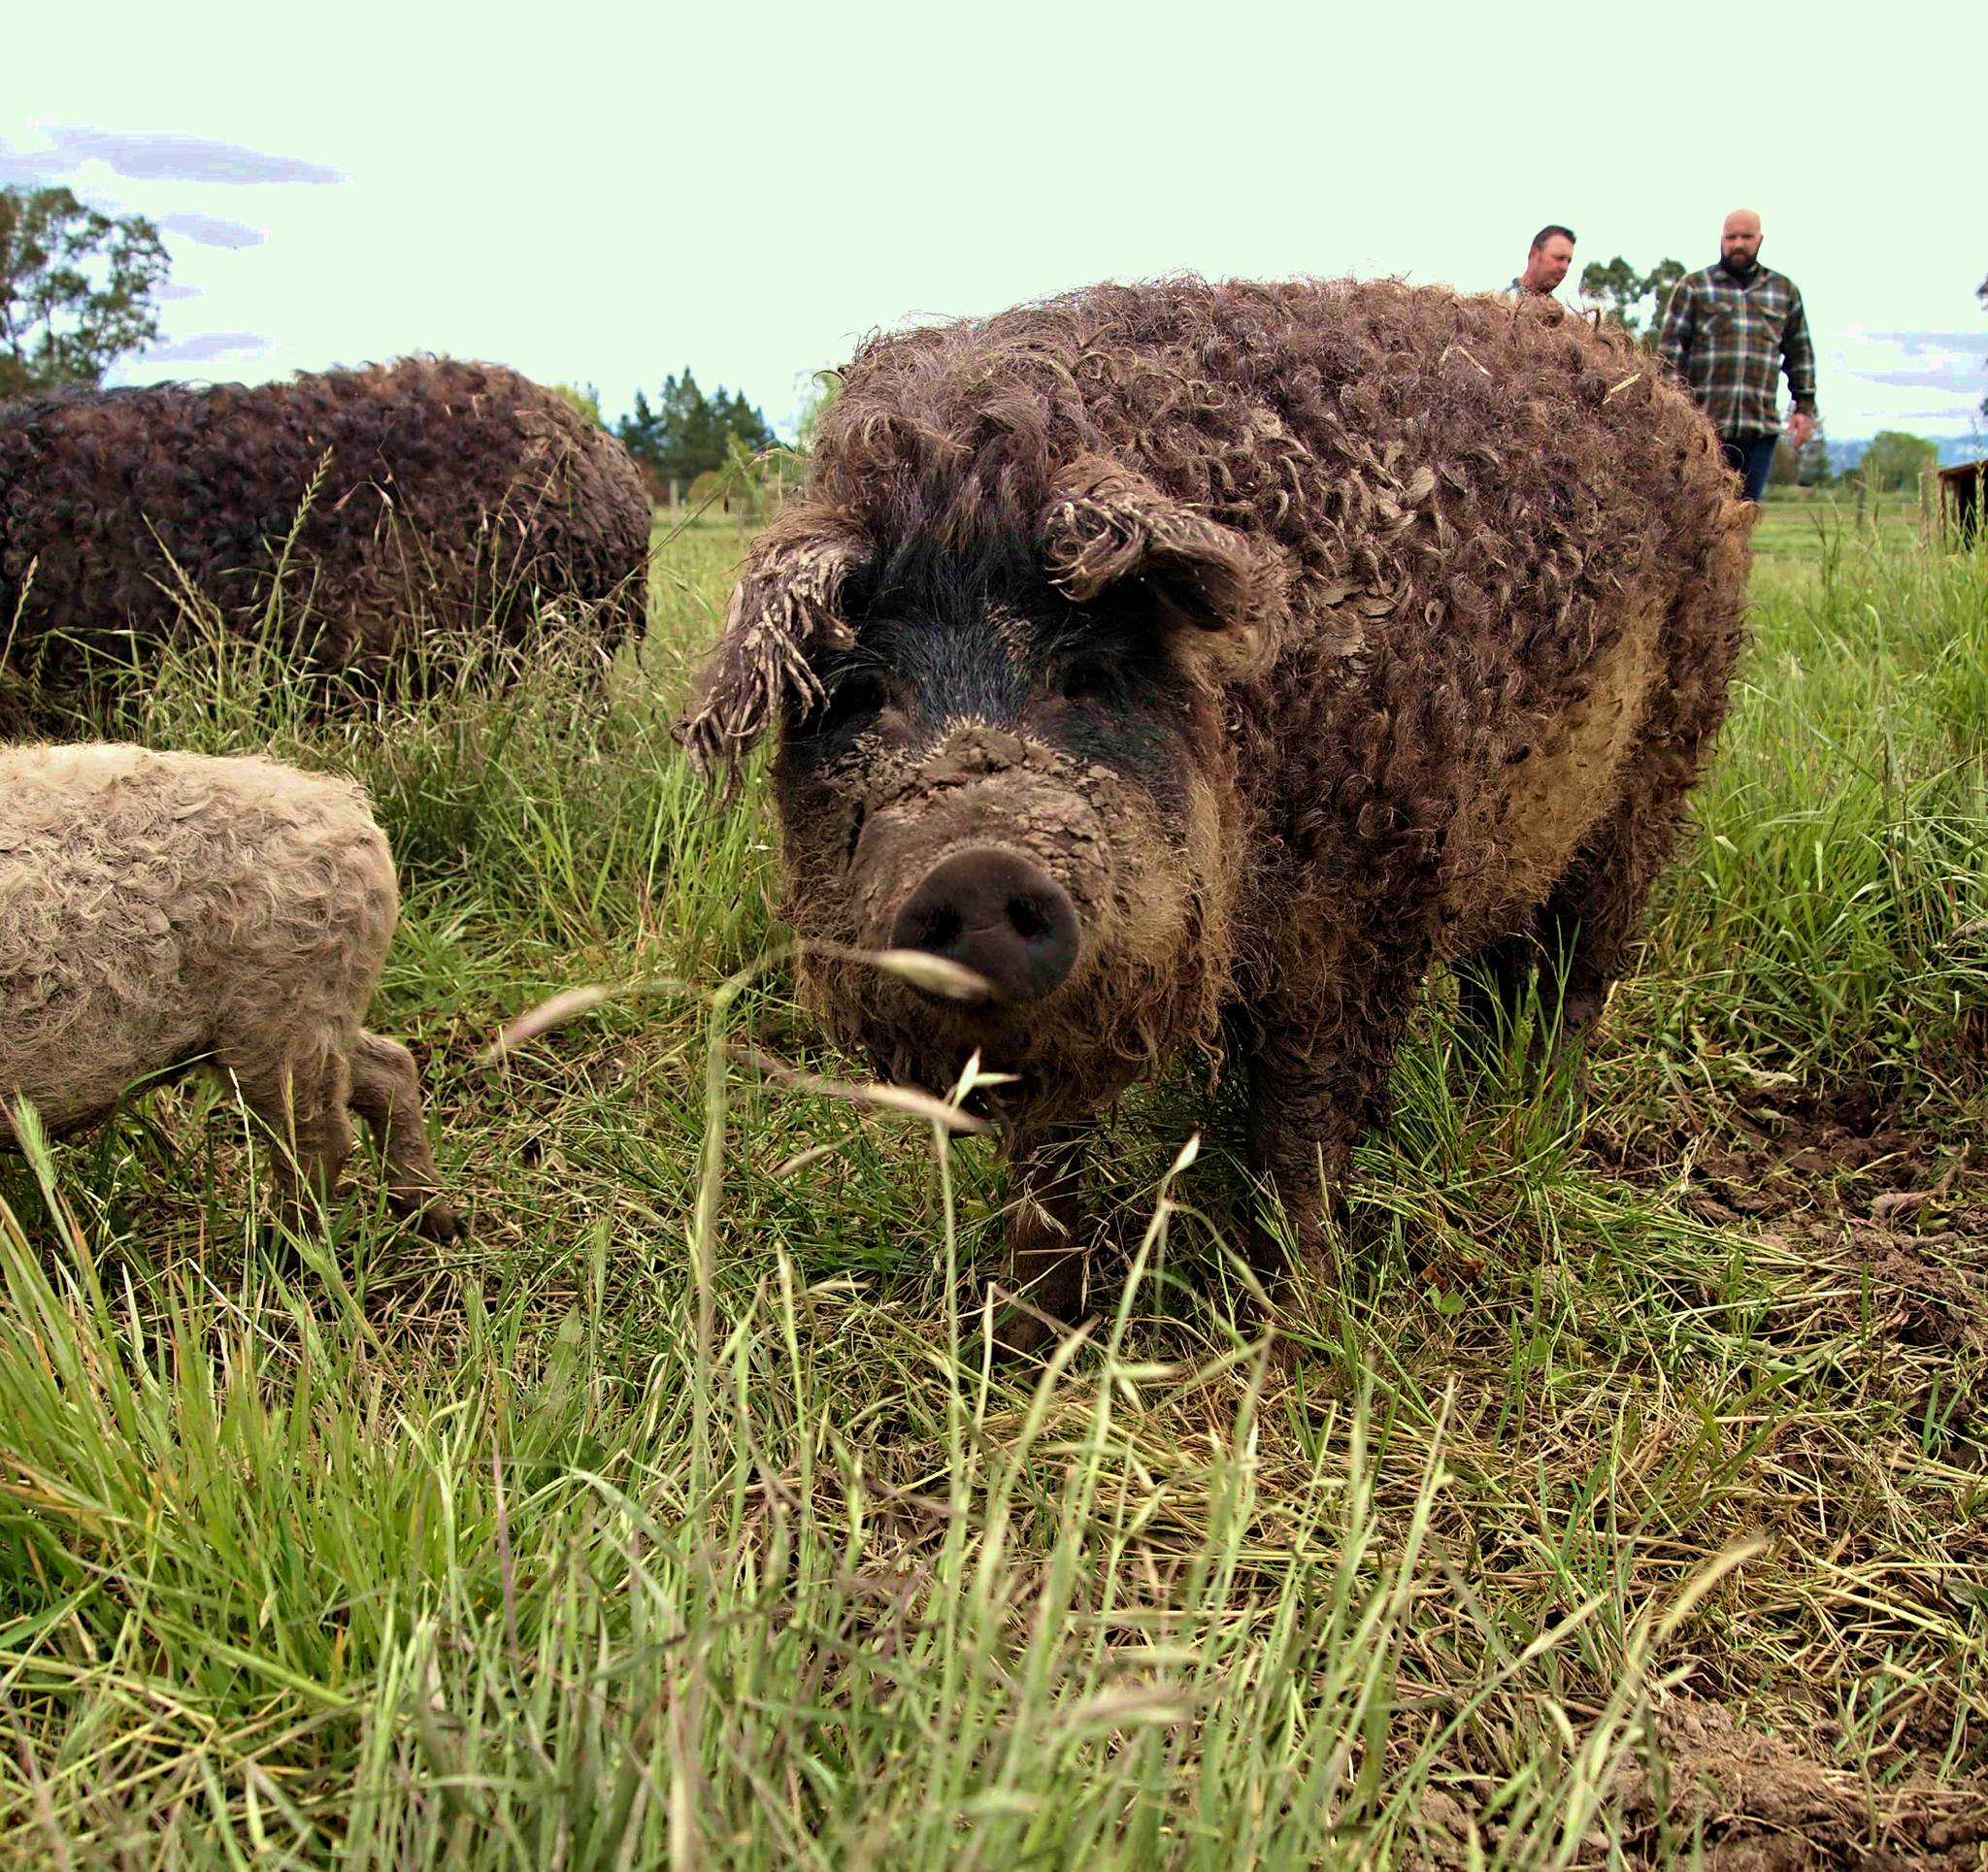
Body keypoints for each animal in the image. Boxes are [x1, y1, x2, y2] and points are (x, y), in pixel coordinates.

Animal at [0, 742, 461, 1248]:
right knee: (390, 1067)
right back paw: (436, 1221)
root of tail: (351, 812)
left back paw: (279, 1248)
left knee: (320, 1139)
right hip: (311, 1011)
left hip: (280, 1014)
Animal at [687, 274, 1757, 1351]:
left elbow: (1301, 1128)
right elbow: (1045, 1163)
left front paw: (1299, 1332)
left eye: (1085, 671)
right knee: (1499, 979)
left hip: (1656, 772)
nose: (979, 867)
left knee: (1580, 969)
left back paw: (1540, 1125)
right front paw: (1020, 1341)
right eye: (861, 693)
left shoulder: (1357, 910)